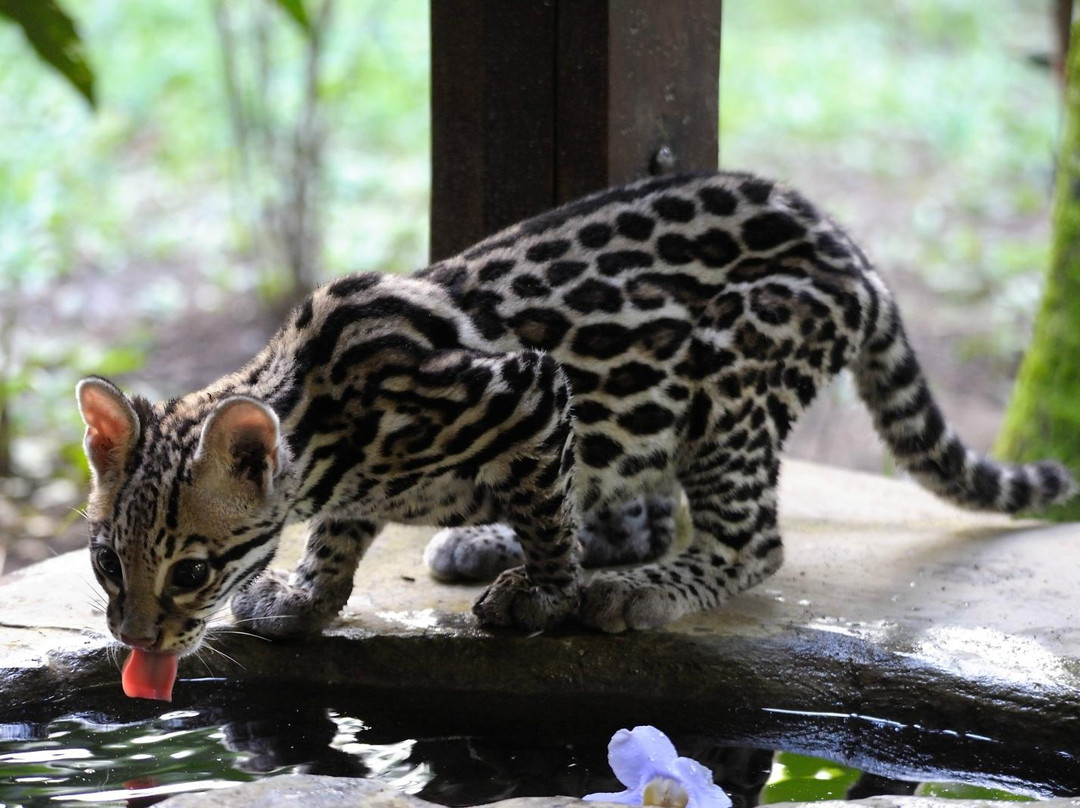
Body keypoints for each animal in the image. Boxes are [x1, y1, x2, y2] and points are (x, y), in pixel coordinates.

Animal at [76, 171, 1071, 661]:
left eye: (193, 571)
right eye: (105, 562)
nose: (134, 641)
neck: (320, 422)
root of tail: (851, 248)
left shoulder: (530, 388)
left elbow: (548, 514)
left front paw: (543, 593)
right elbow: (338, 539)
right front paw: (308, 600)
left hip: (731, 367)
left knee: (749, 541)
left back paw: (641, 586)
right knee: (634, 506)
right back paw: (501, 539)